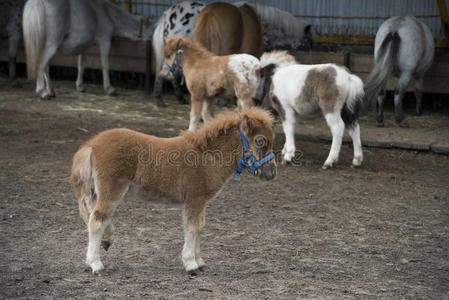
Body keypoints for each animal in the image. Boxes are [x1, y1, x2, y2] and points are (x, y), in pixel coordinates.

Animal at [24, 0, 154, 98]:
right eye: (153, 31)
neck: (107, 13)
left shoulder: (84, 45)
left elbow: (81, 64)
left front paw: (80, 86)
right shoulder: (105, 41)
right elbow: (105, 64)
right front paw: (109, 89)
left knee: (45, 66)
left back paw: (50, 91)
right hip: (52, 43)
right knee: (41, 64)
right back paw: (42, 92)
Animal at [69, 108, 276, 274]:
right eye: (260, 141)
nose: (272, 173)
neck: (207, 157)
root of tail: (91, 145)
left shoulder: (202, 202)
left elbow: (200, 227)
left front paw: (200, 261)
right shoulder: (194, 199)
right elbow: (191, 228)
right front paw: (191, 264)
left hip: (97, 191)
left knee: (92, 215)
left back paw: (106, 241)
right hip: (111, 191)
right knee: (96, 221)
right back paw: (96, 264)